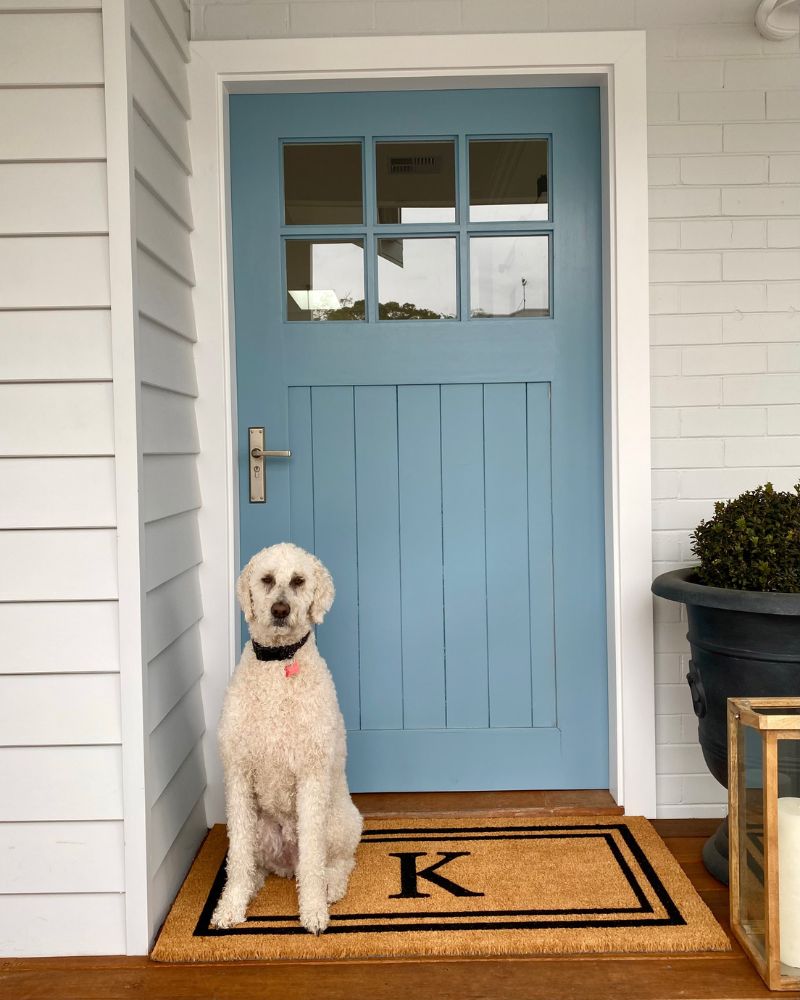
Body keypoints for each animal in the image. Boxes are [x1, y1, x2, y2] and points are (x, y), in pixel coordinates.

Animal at [212, 544, 362, 932]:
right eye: (266, 579)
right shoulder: (238, 773)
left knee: (336, 862)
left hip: (338, 821)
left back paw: (330, 886)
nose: (280, 610)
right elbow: (238, 859)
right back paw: (250, 885)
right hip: (259, 829)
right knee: (252, 862)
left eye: (299, 581)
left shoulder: (310, 777)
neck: (278, 662)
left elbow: (312, 861)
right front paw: (230, 906)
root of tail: (285, 864)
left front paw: (313, 911)